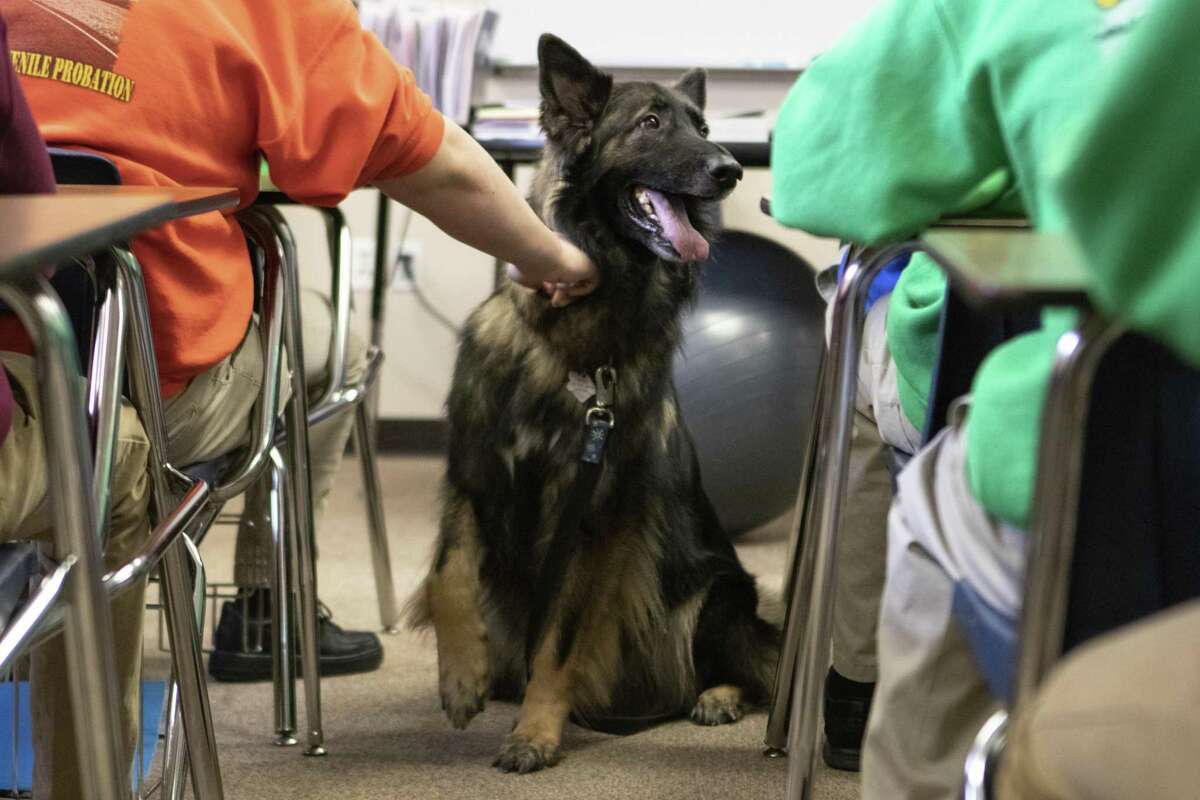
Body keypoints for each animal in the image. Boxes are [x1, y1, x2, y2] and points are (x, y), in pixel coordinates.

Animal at [408, 34, 782, 772]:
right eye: (651, 123)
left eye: (704, 126)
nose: (730, 169)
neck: (574, 340)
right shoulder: (472, 475)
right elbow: (447, 572)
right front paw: (461, 676)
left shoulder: (597, 515)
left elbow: (561, 639)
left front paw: (535, 731)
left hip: (719, 591)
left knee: (745, 671)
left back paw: (717, 697)